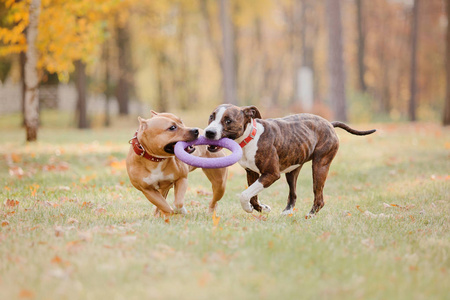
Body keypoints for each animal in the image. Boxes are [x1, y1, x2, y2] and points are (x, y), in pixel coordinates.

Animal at [205, 104, 376, 217]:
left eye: (228, 120)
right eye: (211, 117)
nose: (208, 132)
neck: (250, 137)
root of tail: (329, 123)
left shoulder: (271, 174)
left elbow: (245, 194)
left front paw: (249, 208)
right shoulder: (251, 173)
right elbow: (252, 196)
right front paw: (262, 208)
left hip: (320, 166)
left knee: (319, 197)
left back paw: (310, 215)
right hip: (292, 171)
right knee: (293, 194)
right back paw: (287, 212)